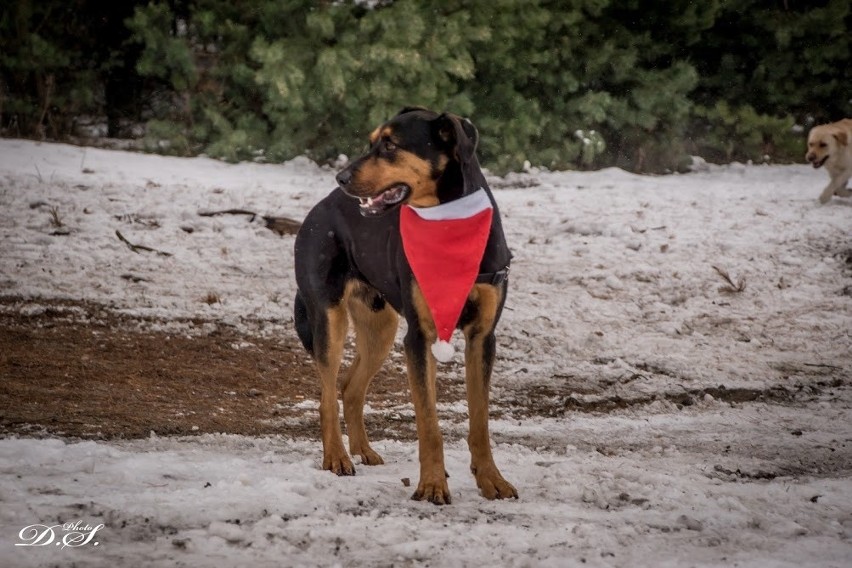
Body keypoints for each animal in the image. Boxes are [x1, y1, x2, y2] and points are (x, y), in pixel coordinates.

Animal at [292, 107, 516, 506]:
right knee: (327, 394)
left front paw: (491, 479)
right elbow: (428, 422)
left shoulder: (482, 337)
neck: (446, 221)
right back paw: (337, 457)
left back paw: (363, 450)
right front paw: (432, 486)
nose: (341, 176)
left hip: (380, 327)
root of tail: (320, 207)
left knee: (350, 387)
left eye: (390, 145)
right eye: (371, 142)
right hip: (329, 318)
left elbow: (480, 421)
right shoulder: (418, 337)